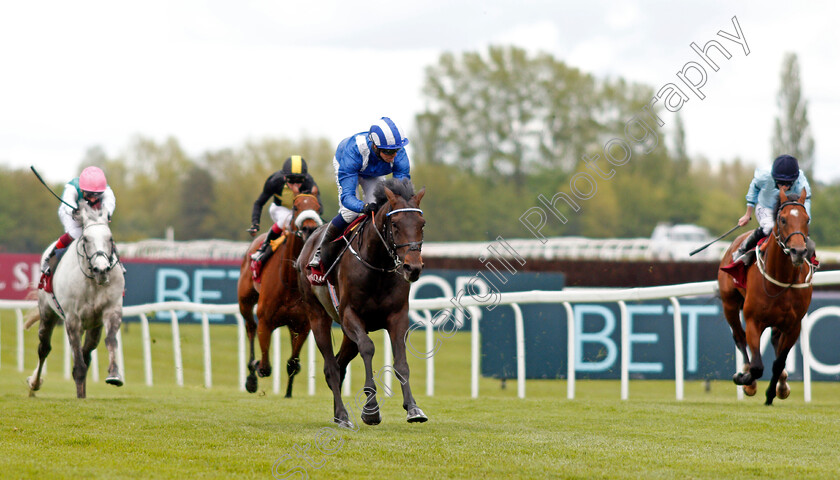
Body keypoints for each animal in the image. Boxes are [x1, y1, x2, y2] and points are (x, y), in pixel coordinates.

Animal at [25, 202, 124, 398]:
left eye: (110, 239)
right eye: (85, 239)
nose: (102, 270)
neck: (92, 282)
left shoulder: (111, 310)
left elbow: (110, 341)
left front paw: (114, 374)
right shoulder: (72, 318)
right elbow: (78, 362)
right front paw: (79, 394)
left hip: (93, 325)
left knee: (88, 352)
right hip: (47, 312)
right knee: (44, 348)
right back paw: (34, 384)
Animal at [241, 193, 326, 396]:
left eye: (318, 207)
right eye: (295, 207)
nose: (309, 227)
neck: (290, 282)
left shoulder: (302, 325)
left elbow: (292, 364)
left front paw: (288, 394)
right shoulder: (265, 321)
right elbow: (265, 367)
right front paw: (256, 367)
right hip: (245, 301)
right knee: (250, 328)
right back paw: (251, 375)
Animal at [296, 177, 426, 428]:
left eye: (422, 224)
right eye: (395, 224)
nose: (412, 267)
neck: (377, 267)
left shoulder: (397, 316)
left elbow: (401, 362)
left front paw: (413, 408)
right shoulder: (350, 315)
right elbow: (368, 347)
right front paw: (371, 409)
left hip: (348, 335)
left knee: (339, 364)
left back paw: (338, 414)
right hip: (318, 316)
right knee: (331, 367)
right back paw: (343, 415)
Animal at [720, 188, 812, 404]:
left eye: (807, 219)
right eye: (783, 220)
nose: (798, 251)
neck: (781, 278)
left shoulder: (793, 325)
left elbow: (779, 362)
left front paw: (772, 393)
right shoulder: (754, 320)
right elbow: (756, 366)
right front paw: (745, 379)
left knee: (775, 343)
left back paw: (782, 384)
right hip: (729, 304)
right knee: (739, 336)